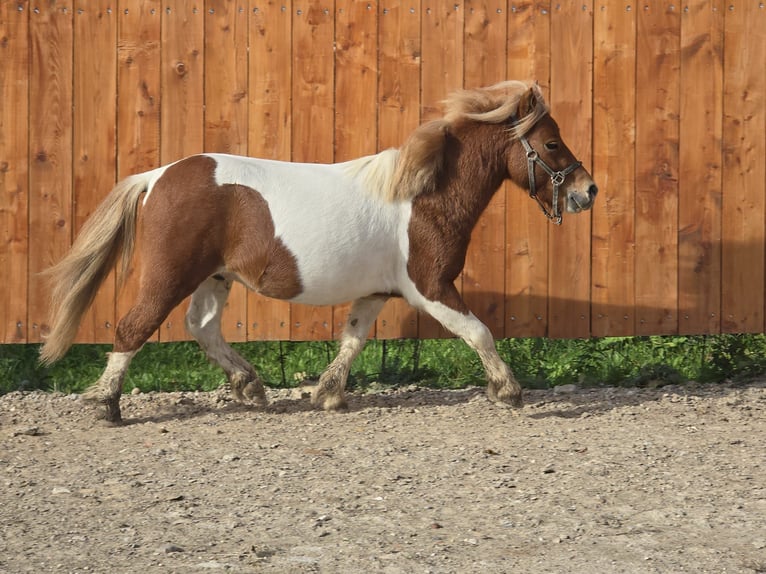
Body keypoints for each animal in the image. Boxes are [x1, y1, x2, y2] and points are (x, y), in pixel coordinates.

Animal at [40, 82, 600, 424]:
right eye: (552, 144)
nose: (588, 191)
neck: (423, 195)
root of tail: (157, 176)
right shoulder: (431, 287)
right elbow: (479, 331)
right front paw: (508, 391)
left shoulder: (377, 293)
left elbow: (352, 339)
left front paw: (327, 394)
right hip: (171, 273)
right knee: (134, 327)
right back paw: (108, 406)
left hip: (214, 278)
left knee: (201, 328)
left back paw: (251, 386)